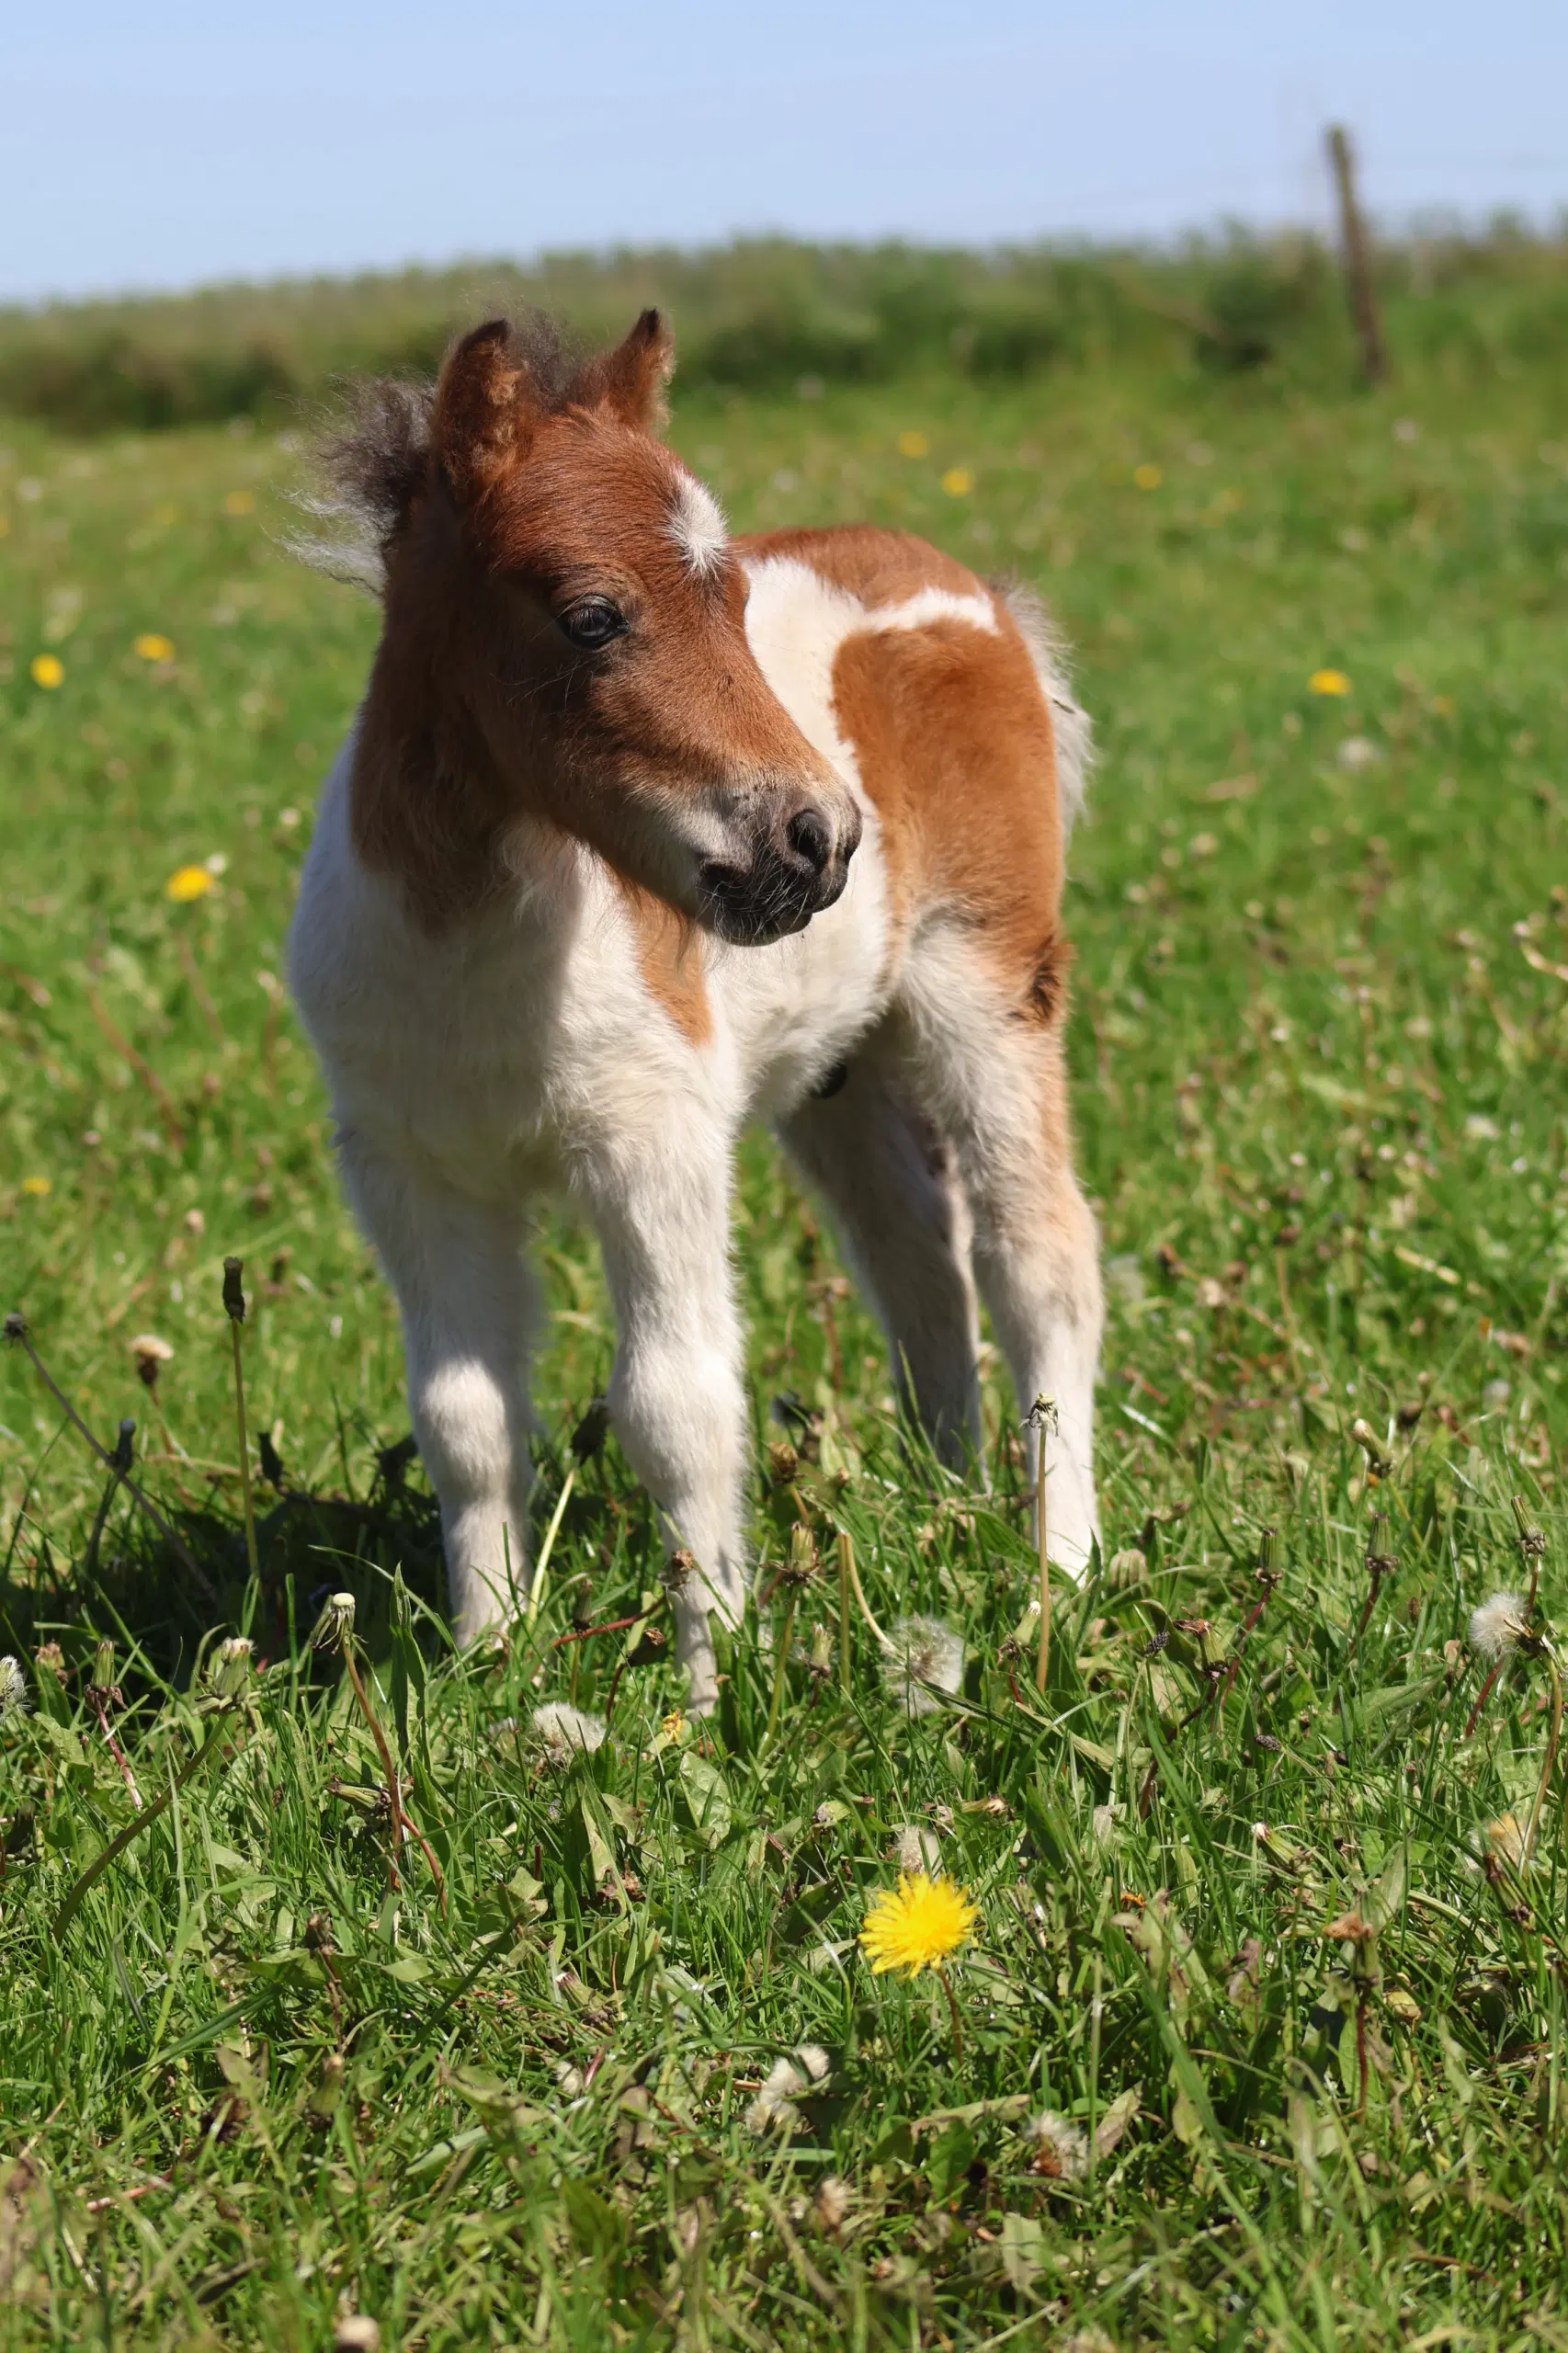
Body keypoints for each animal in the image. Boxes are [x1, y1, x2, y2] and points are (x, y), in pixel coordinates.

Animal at [290, 313, 1096, 1712]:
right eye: (590, 615)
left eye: (731, 602)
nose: (818, 842)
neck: (473, 946)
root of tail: (975, 594)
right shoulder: (408, 1171)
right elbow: (464, 1415)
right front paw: (486, 1668)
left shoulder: (649, 1141)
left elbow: (675, 1405)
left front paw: (709, 1693)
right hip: (837, 1071)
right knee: (916, 1259)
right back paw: (945, 1502)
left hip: (986, 989)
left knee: (1038, 1255)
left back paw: (1059, 1566)